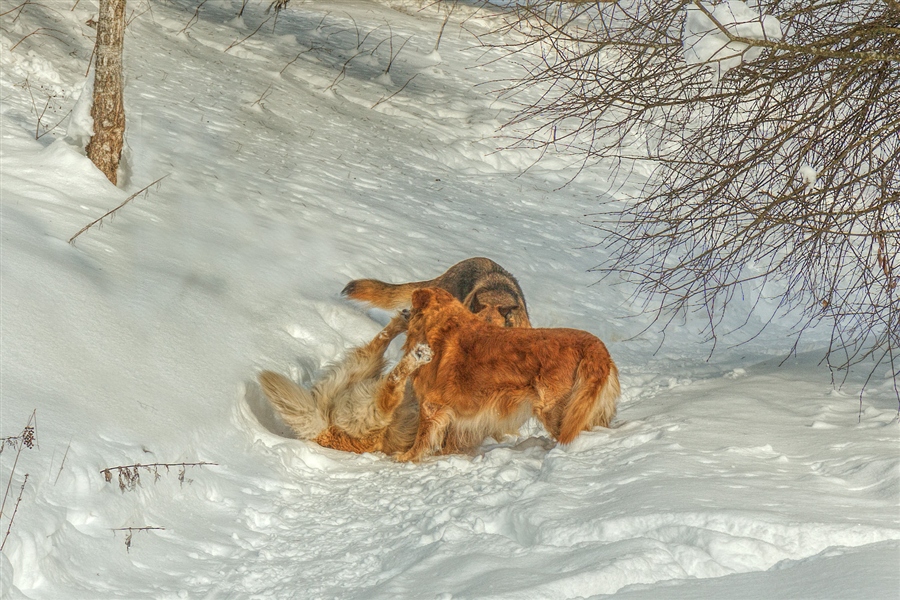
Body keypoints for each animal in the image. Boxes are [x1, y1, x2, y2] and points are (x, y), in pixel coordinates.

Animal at [400, 288, 620, 462]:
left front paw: (407, 457)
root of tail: (595, 345)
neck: (441, 326)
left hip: (558, 410)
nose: (402, 310)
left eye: (411, 303)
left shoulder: (431, 405)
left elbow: (422, 437)